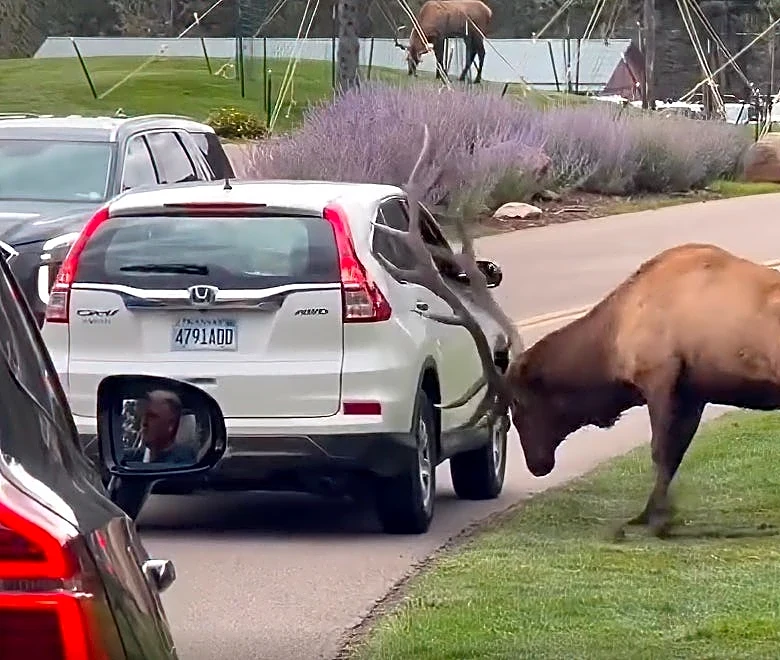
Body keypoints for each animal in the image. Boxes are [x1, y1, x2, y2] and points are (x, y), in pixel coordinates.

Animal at [383, 125, 780, 540]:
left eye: (518, 403)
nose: (538, 465)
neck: (614, 344)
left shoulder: (660, 375)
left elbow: (662, 451)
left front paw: (658, 519)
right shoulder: (693, 388)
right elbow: (675, 453)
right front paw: (652, 515)